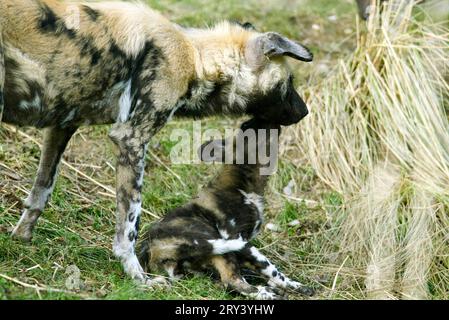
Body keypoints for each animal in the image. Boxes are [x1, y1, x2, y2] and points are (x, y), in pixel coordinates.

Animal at [138, 118, 314, 300]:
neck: (241, 186)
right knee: (233, 281)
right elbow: (271, 271)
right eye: (247, 128)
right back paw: (273, 294)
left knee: (230, 282)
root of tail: (149, 248)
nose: (258, 120)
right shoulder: (237, 237)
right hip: (217, 242)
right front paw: (295, 285)